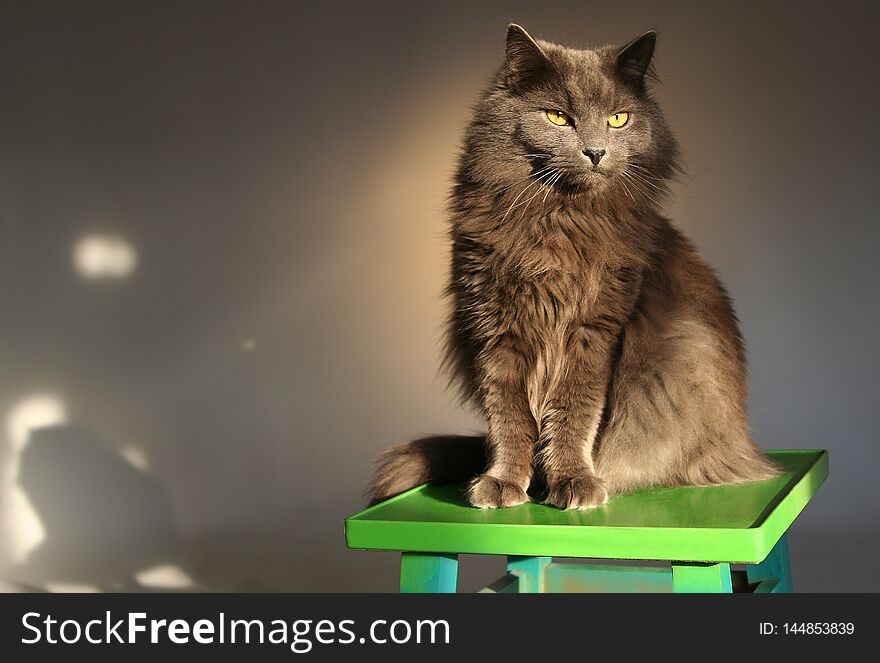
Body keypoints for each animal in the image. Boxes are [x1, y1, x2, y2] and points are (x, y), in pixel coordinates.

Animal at [368, 23, 780, 510]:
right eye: (558, 117)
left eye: (618, 119)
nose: (596, 151)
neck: (561, 221)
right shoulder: (495, 327)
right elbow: (509, 416)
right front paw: (503, 482)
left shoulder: (596, 327)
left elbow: (574, 410)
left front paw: (572, 481)